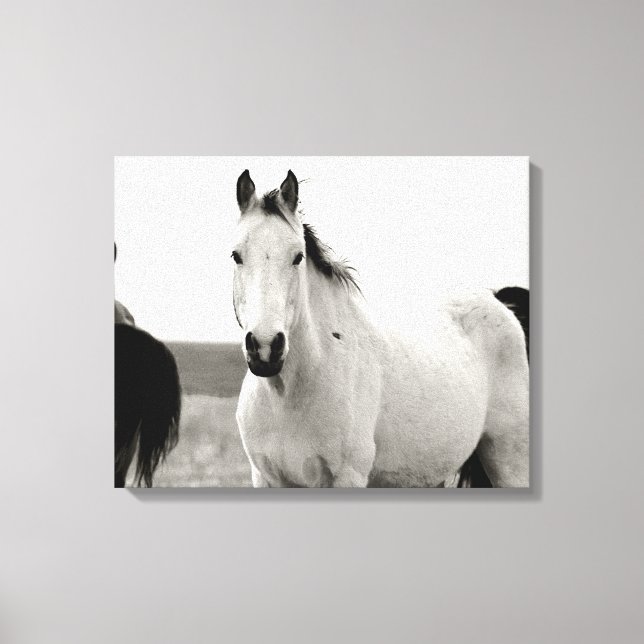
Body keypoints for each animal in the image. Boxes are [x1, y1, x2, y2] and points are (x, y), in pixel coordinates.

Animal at [231, 170, 529, 488]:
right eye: (236, 255)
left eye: (297, 256)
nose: (265, 347)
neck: (287, 396)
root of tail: (496, 299)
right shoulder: (266, 478)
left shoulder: (348, 476)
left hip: (509, 461)